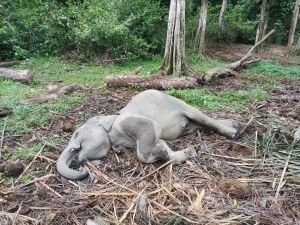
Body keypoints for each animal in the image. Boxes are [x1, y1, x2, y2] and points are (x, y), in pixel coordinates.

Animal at [57, 89, 238, 179]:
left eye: (76, 133)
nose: (82, 168)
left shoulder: (133, 122)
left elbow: (148, 137)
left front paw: (162, 154)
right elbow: (161, 141)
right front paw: (183, 153)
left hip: (179, 103)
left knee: (201, 117)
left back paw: (233, 131)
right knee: (198, 125)